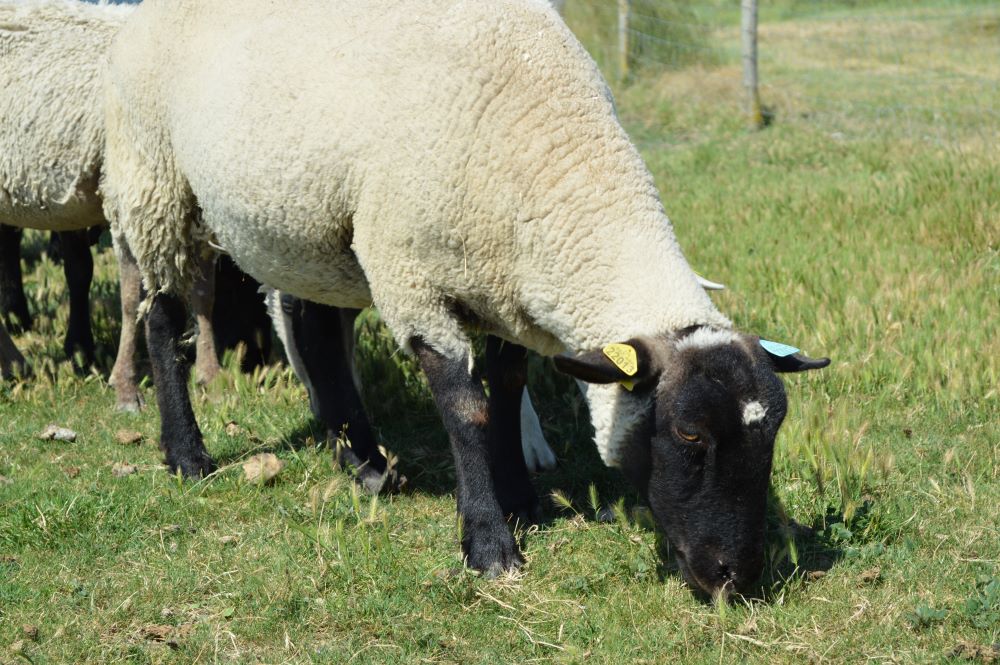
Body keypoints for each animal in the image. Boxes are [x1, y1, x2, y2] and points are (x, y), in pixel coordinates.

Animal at [0, 0, 222, 407]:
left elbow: (204, 294)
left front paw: (212, 379)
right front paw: (125, 388)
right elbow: (132, 296)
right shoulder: (130, 196)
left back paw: (14, 364)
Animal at [102, 0, 828, 595]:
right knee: (164, 316)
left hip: (311, 221)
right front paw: (490, 543)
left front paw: (522, 500)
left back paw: (366, 464)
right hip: (156, 180)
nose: (737, 576)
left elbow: (506, 386)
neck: (552, 147)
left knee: (311, 326)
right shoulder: (411, 277)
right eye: (688, 433)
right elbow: (466, 409)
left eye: (772, 434)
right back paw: (187, 455)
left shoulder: (503, 290)